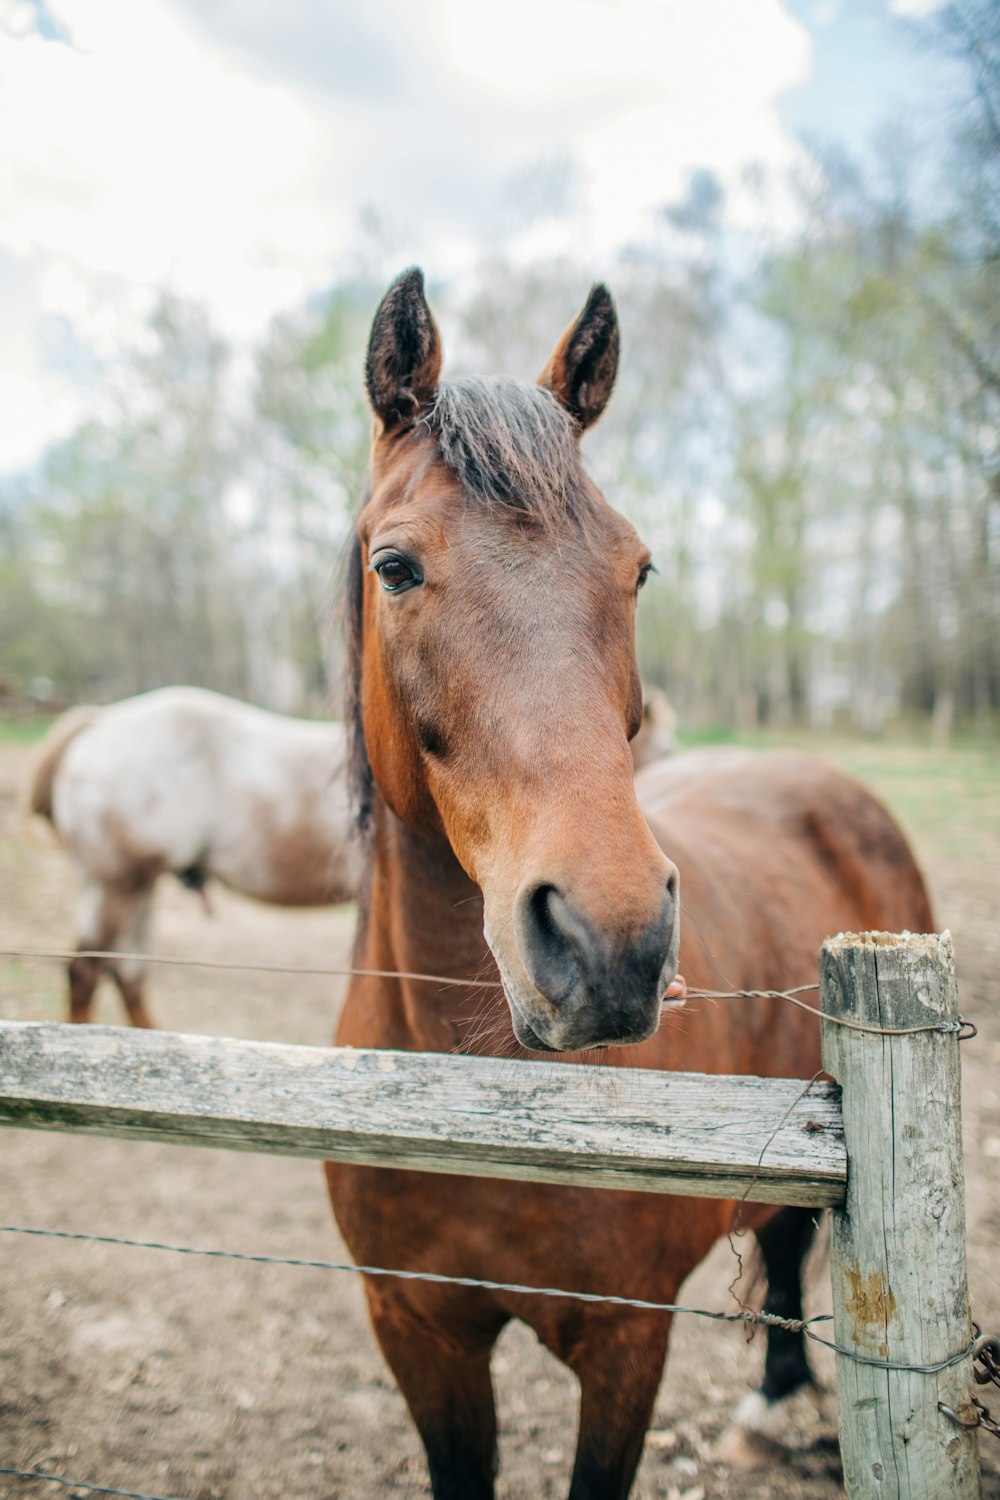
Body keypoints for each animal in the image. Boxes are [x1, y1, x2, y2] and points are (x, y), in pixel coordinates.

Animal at [325, 273, 935, 1500]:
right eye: (395, 566)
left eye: (637, 568)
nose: (610, 945)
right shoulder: (418, 1334)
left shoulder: (625, 1340)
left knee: (790, 1240)